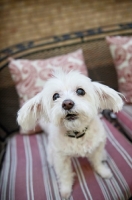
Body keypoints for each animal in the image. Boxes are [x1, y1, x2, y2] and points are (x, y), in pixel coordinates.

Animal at [17, 69, 123, 199]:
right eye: (55, 96)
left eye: (80, 91)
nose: (67, 103)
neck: (77, 133)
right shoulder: (61, 158)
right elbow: (65, 174)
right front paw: (65, 189)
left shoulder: (97, 146)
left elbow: (97, 161)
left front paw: (103, 171)